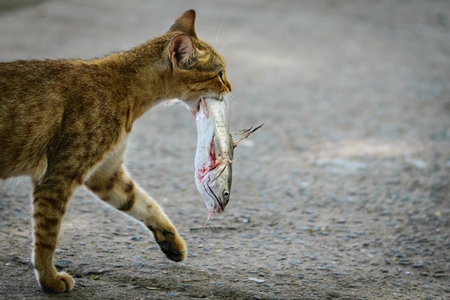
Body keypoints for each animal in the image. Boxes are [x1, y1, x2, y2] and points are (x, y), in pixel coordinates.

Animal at [0, 9, 232, 292]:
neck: (124, 88)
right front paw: (49, 278)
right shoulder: (58, 176)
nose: (230, 88)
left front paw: (171, 240)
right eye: (220, 73)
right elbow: (46, 235)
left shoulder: (107, 173)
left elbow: (145, 204)